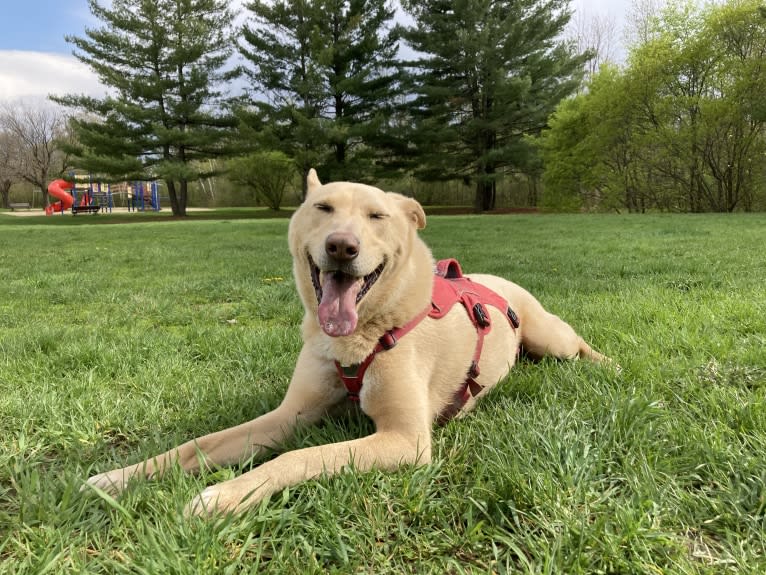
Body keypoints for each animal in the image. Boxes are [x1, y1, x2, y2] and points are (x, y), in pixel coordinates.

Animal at [84, 169, 612, 516]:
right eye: (323, 208)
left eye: (377, 216)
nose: (341, 246)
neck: (361, 337)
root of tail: (493, 279)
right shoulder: (288, 415)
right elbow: (198, 444)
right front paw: (117, 477)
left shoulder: (405, 440)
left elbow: (301, 456)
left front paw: (224, 495)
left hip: (550, 337)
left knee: (579, 344)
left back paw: (609, 365)